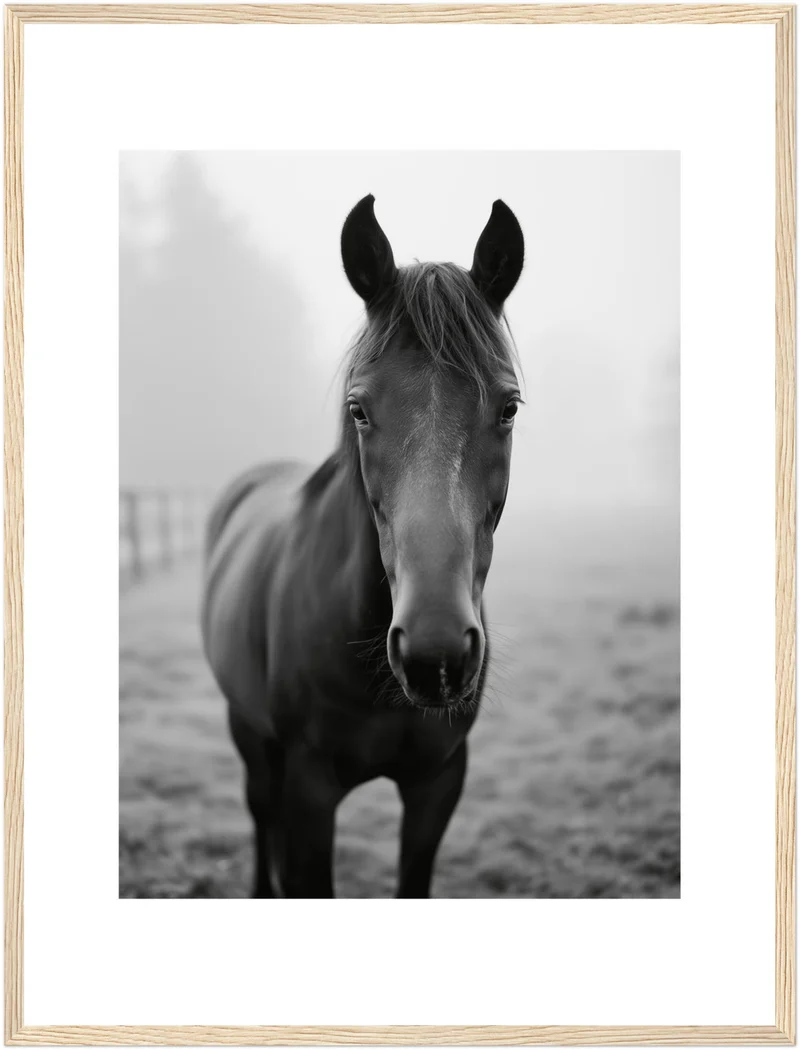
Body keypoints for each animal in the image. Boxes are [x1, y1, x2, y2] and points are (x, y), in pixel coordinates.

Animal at [201, 195, 524, 898]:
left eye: (509, 407)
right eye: (359, 410)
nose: (435, 654)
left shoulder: (438, 785)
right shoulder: (309, 791)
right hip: (248, 732)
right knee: (259, 812)